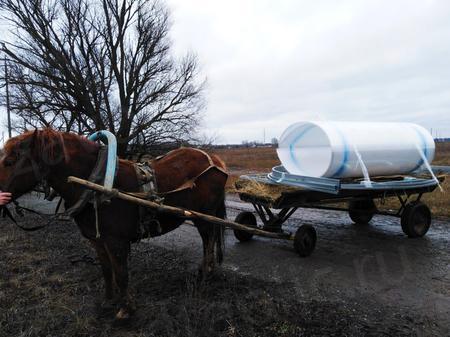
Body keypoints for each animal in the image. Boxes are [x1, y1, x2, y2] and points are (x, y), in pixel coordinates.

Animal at [0, 129, 227, 320]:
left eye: (10, 161)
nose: (0, 195)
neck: (96, 183)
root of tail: (215, 161)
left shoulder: (116, 241)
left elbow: (121, 273)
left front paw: (125, 309)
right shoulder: (97, 240)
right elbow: (107, 271)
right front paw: (108, 301)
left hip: (204, 218)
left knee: (208, 242)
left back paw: (205, 275)